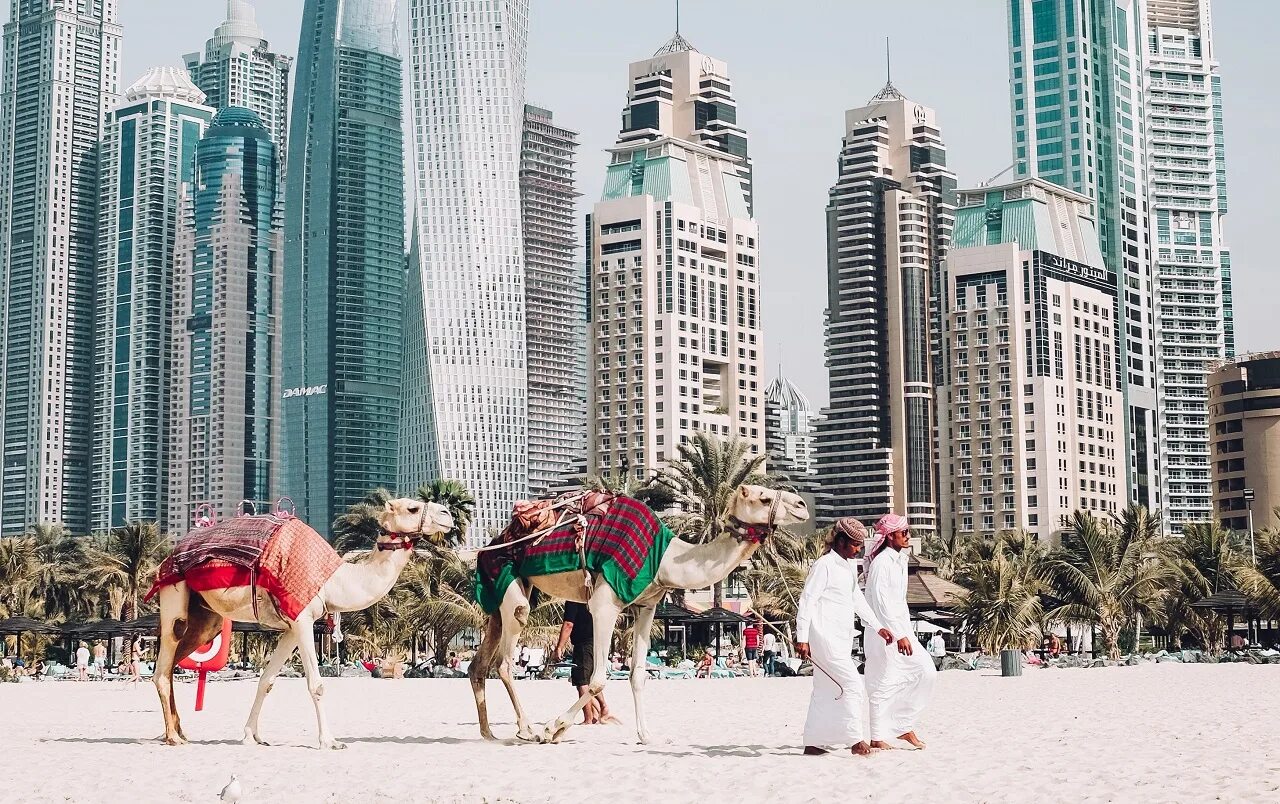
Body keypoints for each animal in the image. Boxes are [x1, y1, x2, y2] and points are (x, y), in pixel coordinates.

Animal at [152, 499, 453, 752]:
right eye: (413, 508)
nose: (447, 514)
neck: (334, 581)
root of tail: (167, 558)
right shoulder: (303, 619)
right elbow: (316, 685)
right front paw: (330, 741)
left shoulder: (290, 626)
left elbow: (267, 680)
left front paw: (252, 736)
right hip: (174, 593)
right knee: (164, 665)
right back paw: (172, 737)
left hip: (207, 618)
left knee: (177, 660)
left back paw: (180, 731)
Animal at [471, 481, 808, 742]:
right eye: (763, 497)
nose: (802, 504)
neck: (664, 560)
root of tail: (492, 542)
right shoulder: (604, 604)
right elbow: (598, 679)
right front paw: (554, 728)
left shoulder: (647, 606)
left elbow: (638, 675)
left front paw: (645, 735)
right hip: (506, 576)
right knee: (505, 658)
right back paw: (527, 730)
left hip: (502, 590)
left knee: (480, 662)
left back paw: (489, 734)